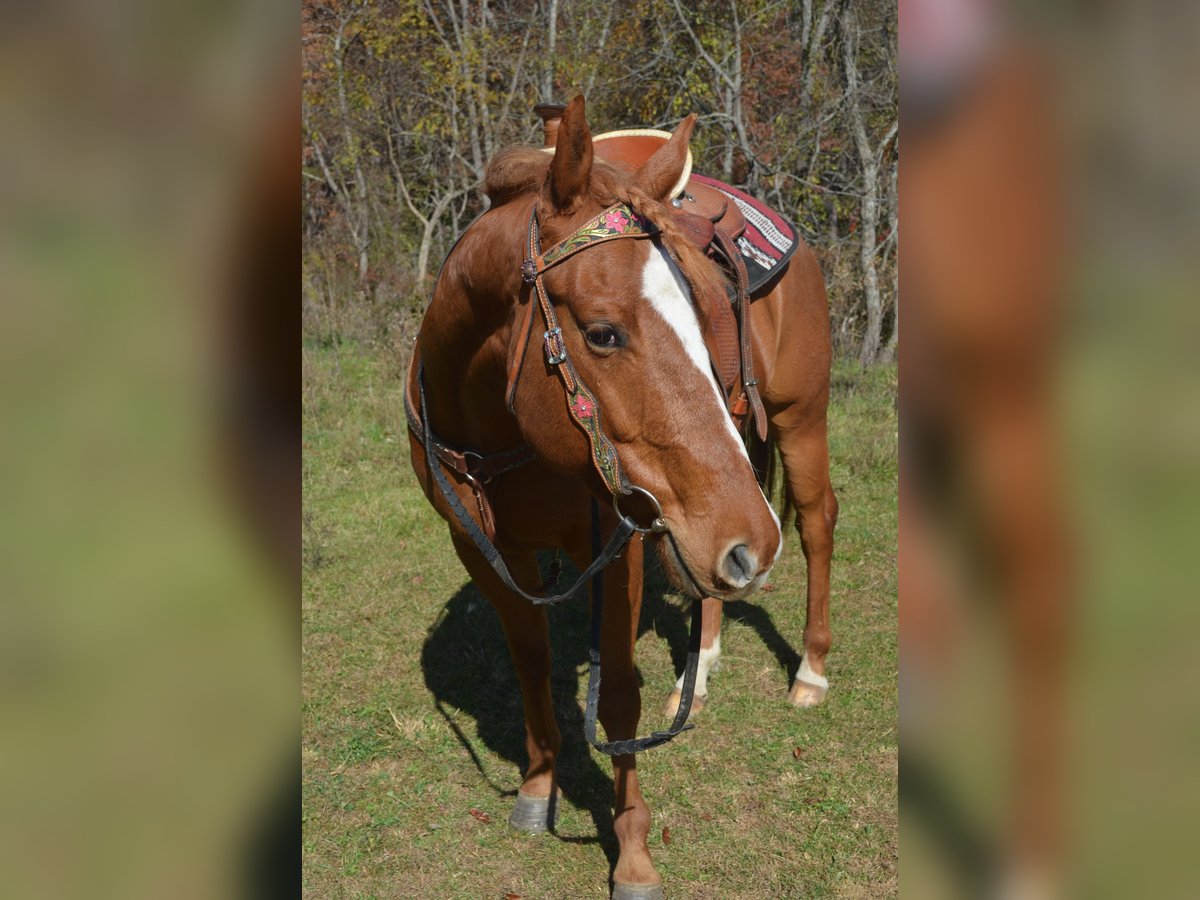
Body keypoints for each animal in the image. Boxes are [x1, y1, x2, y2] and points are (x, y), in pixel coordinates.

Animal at [405, 95, 835, 897]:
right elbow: (531, 660)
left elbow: (618, 699)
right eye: (602, 334)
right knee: (709, 585)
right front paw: (539, 787)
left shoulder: (621, 547)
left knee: (819, 523)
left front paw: (633, 853)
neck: (496, 433)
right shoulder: (484, 548)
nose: (755, 544)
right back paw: (700, 673)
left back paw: (811, 674)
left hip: (799, 422)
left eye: (702, 316)